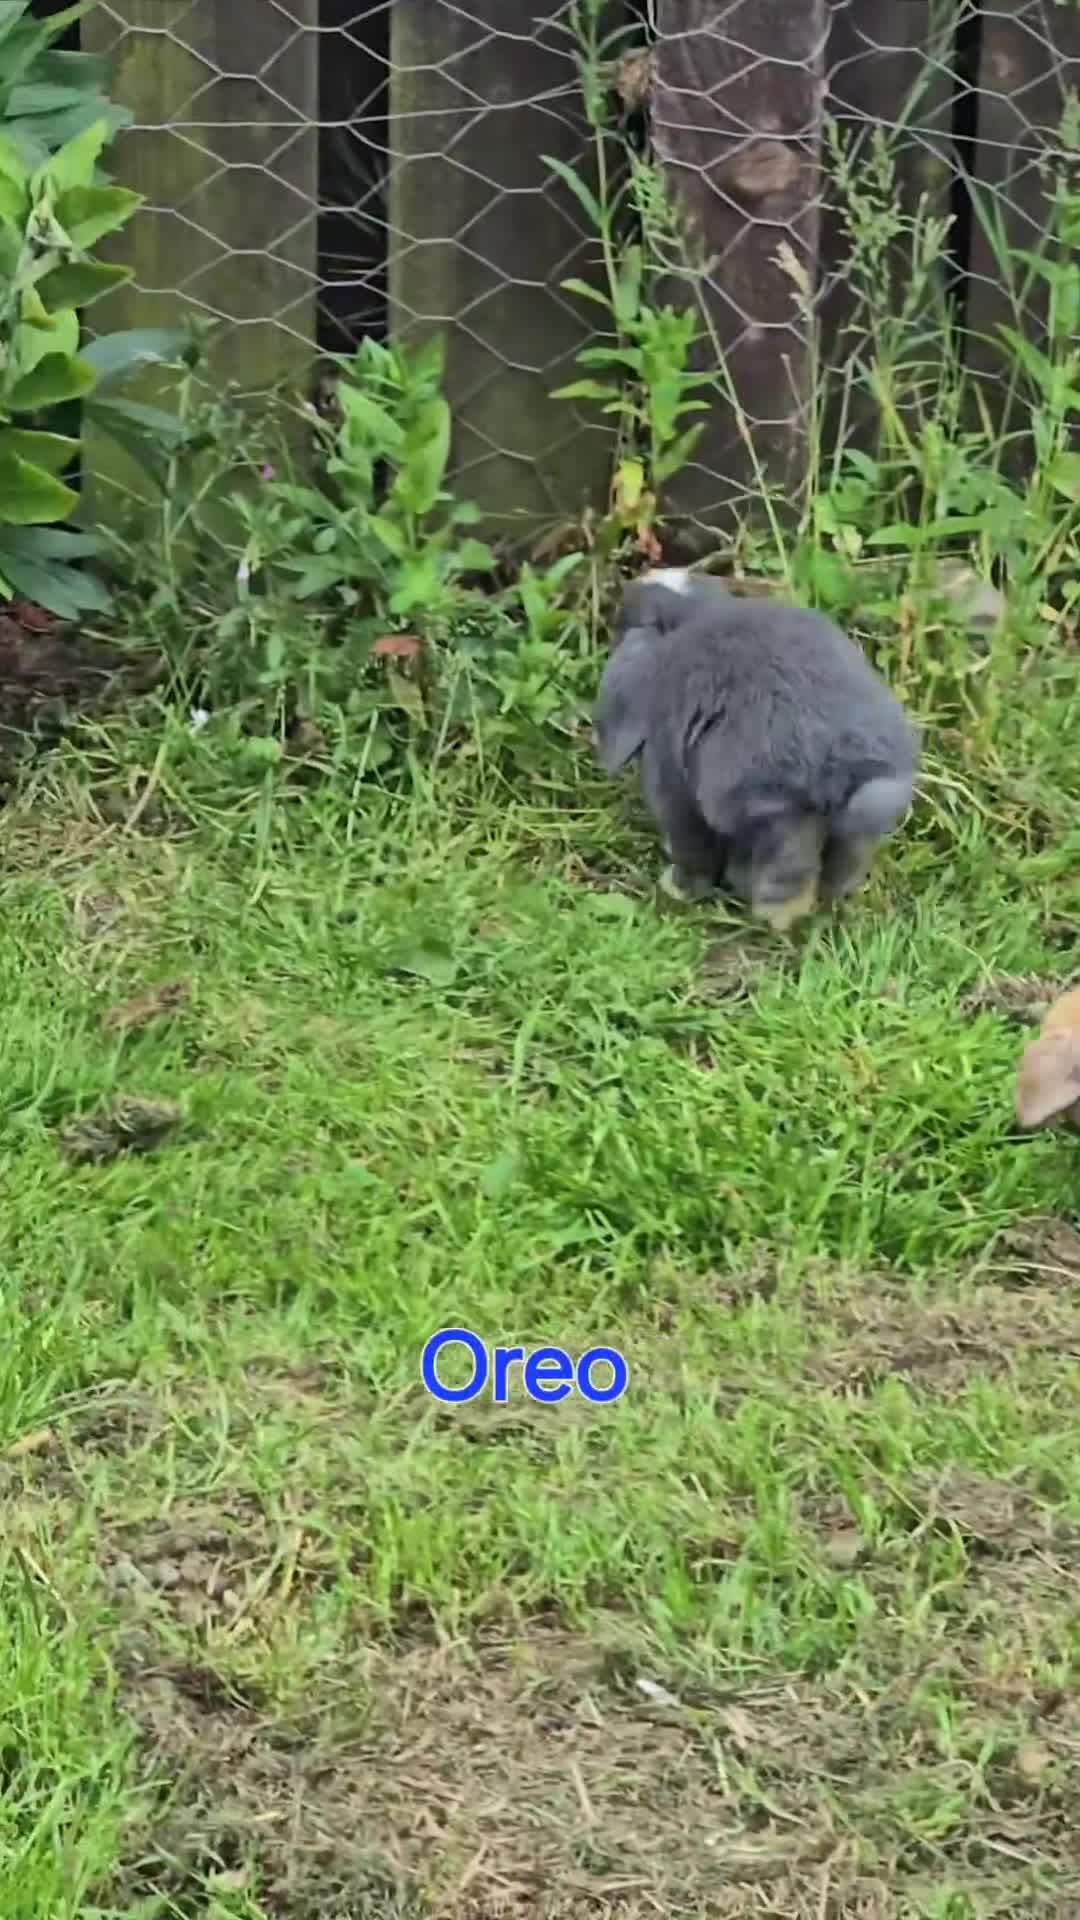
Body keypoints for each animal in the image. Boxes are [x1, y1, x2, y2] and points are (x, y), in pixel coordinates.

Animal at [593, 569, 919, 932]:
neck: (695, 613)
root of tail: (839, 760)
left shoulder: (671, 784)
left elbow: (691, 848)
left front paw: (677, 890)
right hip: (863, 816)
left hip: (777, 815)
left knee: (787, 873)